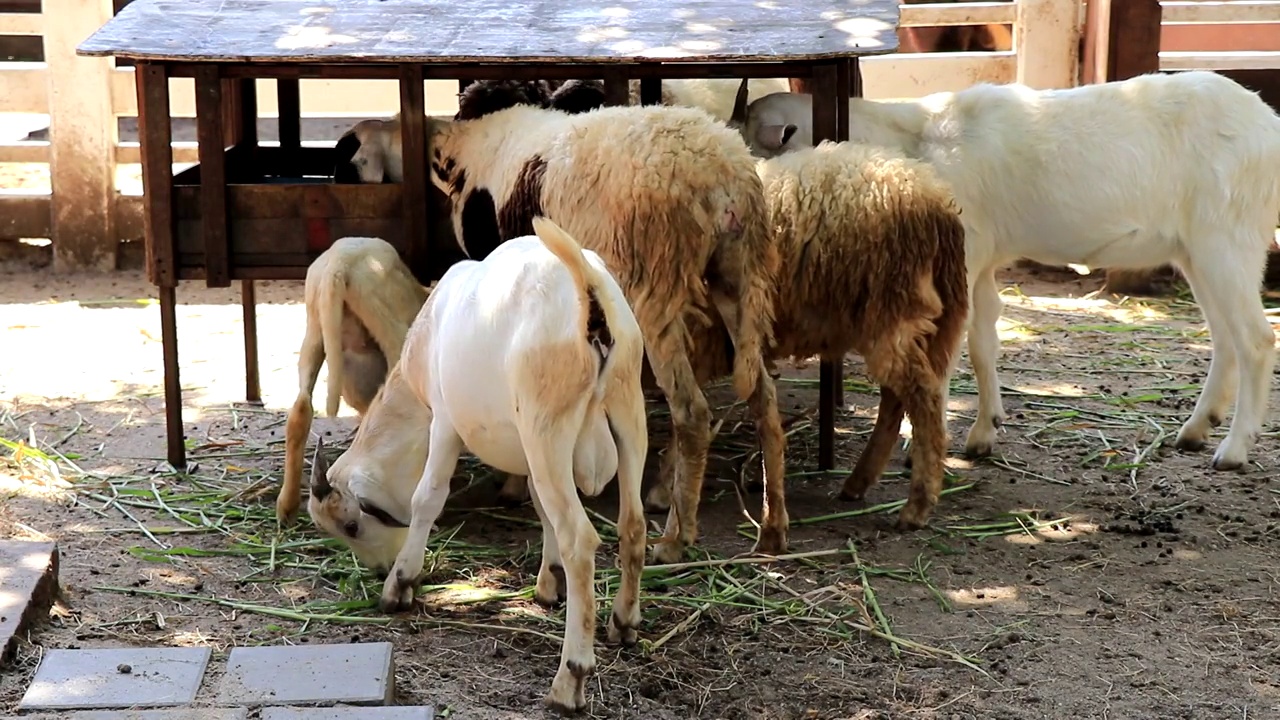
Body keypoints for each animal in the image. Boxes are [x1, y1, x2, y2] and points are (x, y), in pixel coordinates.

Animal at [305, 215, 650, 707]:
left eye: (352, 525)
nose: (377, 570)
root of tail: (588, 293)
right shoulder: (526, 449)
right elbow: (539, 508)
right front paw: (548, 586)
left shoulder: (445, 423)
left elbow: (427, 497)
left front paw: (399, 586)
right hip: (626, 409)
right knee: (632, 524)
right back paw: (623, 623)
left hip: (548, 425)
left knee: (580, 539)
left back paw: (569, 680)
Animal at [732, 70, 1280, 468]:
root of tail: (1268, 123)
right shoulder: (980, 262)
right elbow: (983, 343)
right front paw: (983, 433)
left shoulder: (962, 255)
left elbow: (943, 352)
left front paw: (920, 444)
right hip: (1197, 251)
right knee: (1225, 338)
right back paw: (1197, 428)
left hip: (1226, 239)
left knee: (1255, 340)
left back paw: (1233, 451)